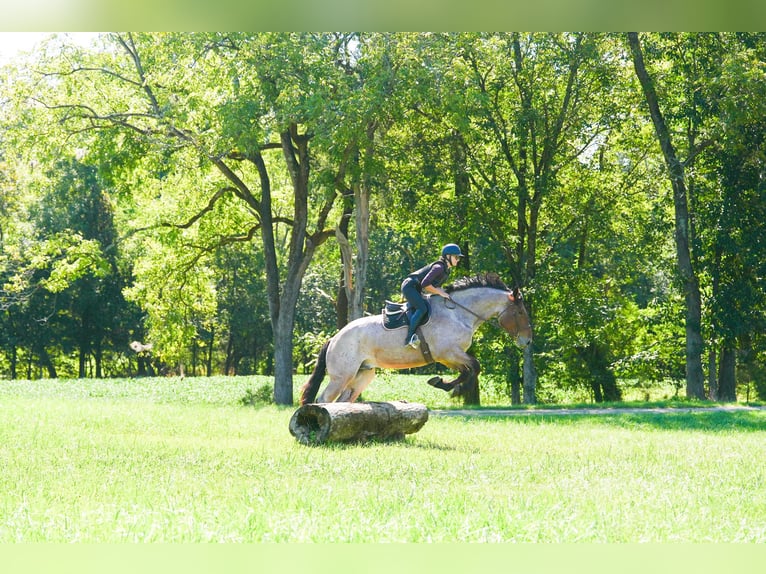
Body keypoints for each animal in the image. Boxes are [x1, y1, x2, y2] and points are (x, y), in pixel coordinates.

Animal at [300, 273, 532, 405]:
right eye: (520, 312)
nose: (527, 341)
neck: (459, 313)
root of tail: (333, 339)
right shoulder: (449, 353)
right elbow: (475, 367)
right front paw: (454, 390)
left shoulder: (450, 357)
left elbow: (468, 370)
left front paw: (443, 384)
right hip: (342, 376)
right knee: (324, 399)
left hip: (362, 375)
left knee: (343, 399)